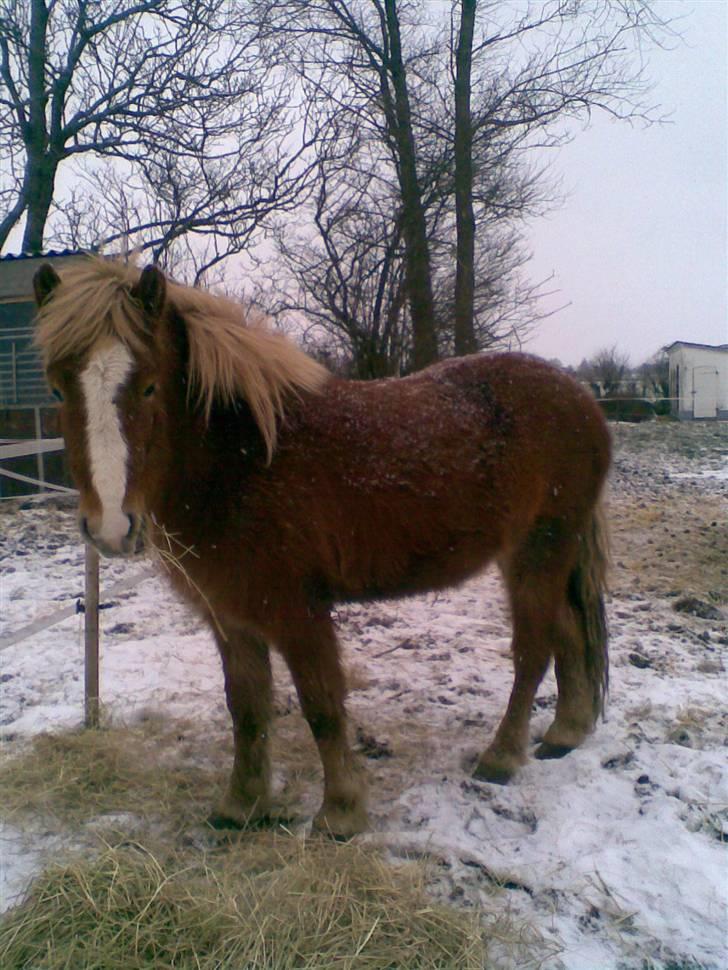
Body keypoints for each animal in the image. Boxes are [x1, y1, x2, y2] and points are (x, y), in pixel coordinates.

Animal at [35, 260, 616, 840]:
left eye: (150, 387)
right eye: (58, 391)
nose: (111, 528)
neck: (244, 460)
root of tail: (582, 398)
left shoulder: (298, 610)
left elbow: (320, 704)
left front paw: (340, 811)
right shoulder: (231, 617)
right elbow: (246, 707)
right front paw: (241, 805)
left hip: (538, 552)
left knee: (533, 650)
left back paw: (501, 757)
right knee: (568, 633)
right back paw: (565, 733)